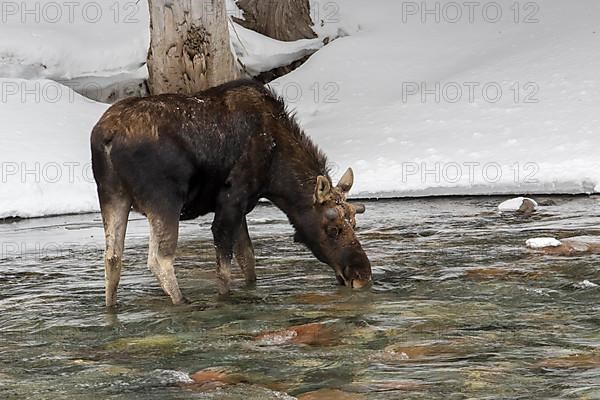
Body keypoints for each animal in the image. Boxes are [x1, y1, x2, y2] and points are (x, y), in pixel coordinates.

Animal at [90, 80, 370, 306]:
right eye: (332, 229)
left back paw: (111, 307)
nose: (362, 274)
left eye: (354, 223)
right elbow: (224, 272)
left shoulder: (243, 207)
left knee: (112, 257)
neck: (275, 173)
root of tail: (106, 137)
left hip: (112, 195)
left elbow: (248, 261)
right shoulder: (231, 201)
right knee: (159, 259)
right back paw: (182, 301)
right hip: (164, 200)